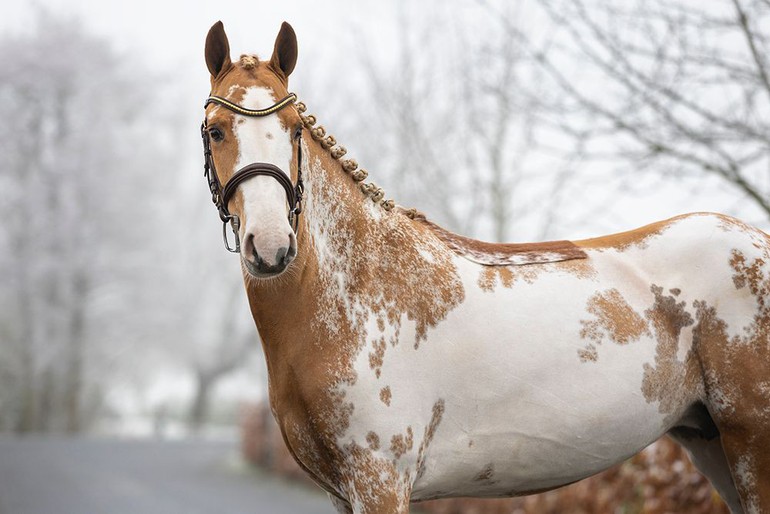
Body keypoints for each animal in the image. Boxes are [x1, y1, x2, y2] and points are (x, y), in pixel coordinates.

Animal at [201, 20, 768, 512]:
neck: (351, 294)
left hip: (750, 445)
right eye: (215, 131)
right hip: (711, 443)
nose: (271, 245)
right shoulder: (343, 492)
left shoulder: (380, 479)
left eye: (294, 129)